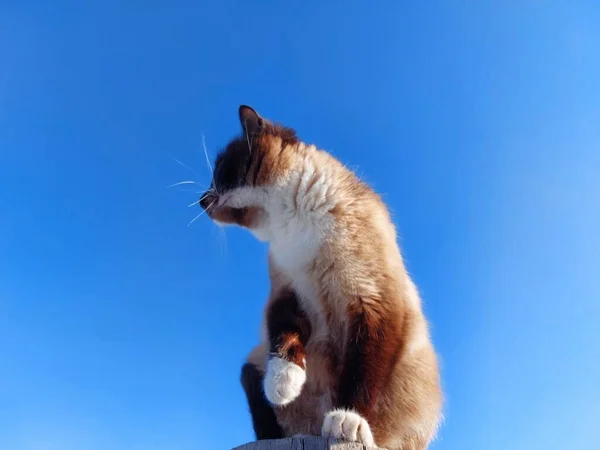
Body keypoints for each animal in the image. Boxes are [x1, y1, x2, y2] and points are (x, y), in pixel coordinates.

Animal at [199, 106, 442, 450]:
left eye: (220, 170)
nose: (200, 200)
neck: (295, 223)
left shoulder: (373, 304)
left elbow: (362, 374)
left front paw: (347, 420)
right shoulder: (287, 292)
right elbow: (285, 332)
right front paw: (283, 384)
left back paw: (341, 429)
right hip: (252, 364)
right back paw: (298, 426)